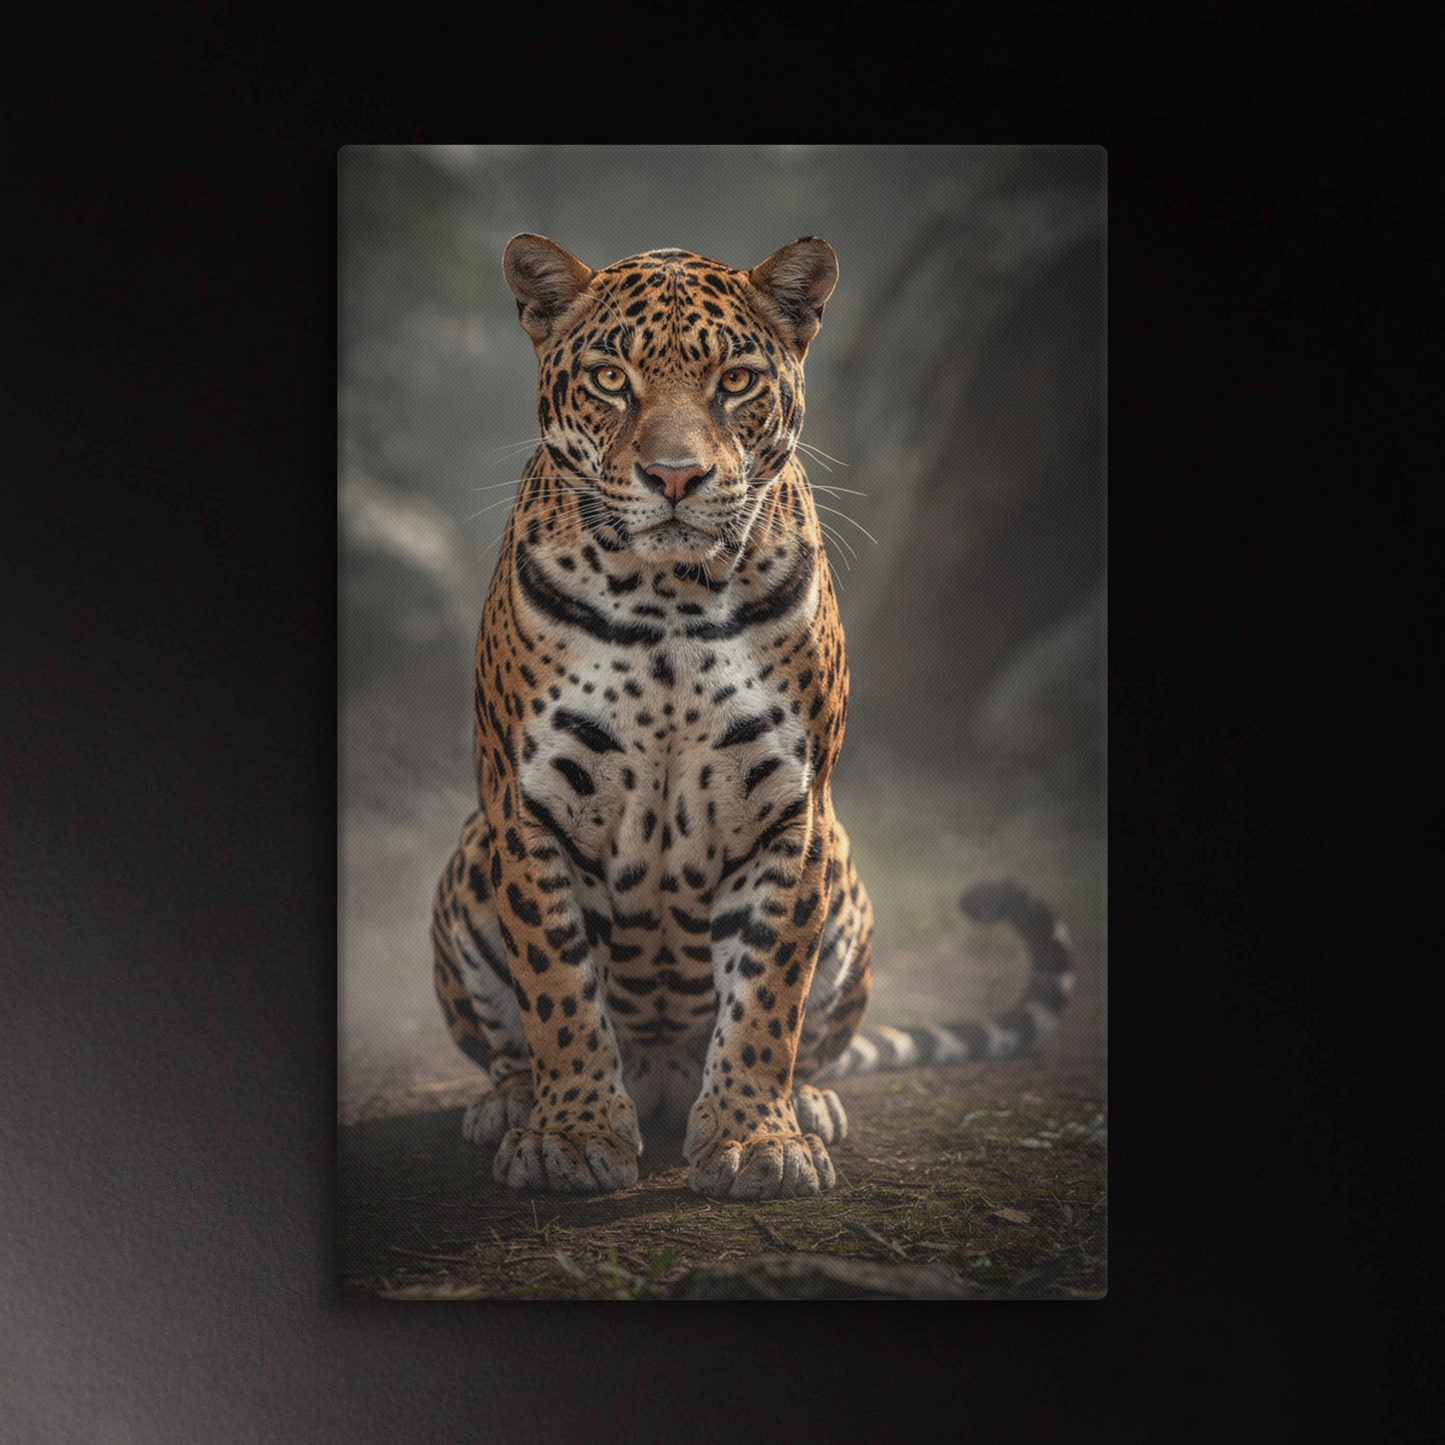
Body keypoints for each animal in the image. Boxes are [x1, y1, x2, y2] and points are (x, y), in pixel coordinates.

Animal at [430, 233, 1075, 1201]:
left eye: (734, 380)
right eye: (611, 377)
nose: (674, 476)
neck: (666, 597)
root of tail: (661, 1080)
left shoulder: (790, 810)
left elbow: (769, 989)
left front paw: (755, 1138)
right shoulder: (527, 803)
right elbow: (556, 986)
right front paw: (570, 1133)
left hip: (845, 869)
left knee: (813, 1039)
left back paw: (806, 1100)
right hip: (469, 856)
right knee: (506, 1039)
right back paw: (510, 1100)